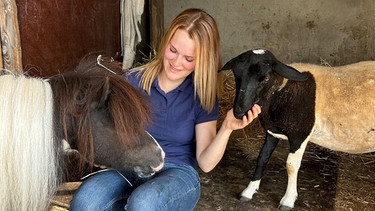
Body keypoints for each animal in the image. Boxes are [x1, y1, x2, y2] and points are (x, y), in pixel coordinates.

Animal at [222, 49, 374, 209]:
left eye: (265, 78)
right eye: (236, 74)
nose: (238, 112)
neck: (284, 91)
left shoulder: (300, 135)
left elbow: (291, 165)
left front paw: (288, 201)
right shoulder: (272, 132)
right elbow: (262, 158)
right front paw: (249, 191)